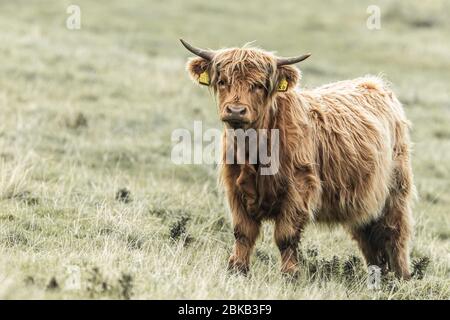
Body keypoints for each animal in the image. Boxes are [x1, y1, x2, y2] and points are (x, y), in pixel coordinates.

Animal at [179, 38, 414, 278]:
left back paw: (400, 278)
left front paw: (290, 275)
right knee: (368, 237)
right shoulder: (235, 189)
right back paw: (378, 276)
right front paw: (237, 269)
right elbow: (243, 233)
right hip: (363, 199)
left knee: (396, 233)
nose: (236, 111)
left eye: (259, 85)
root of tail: (375, 83)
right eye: (223, 81)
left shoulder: (298, 189)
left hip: (396, 192)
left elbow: (286, 236)